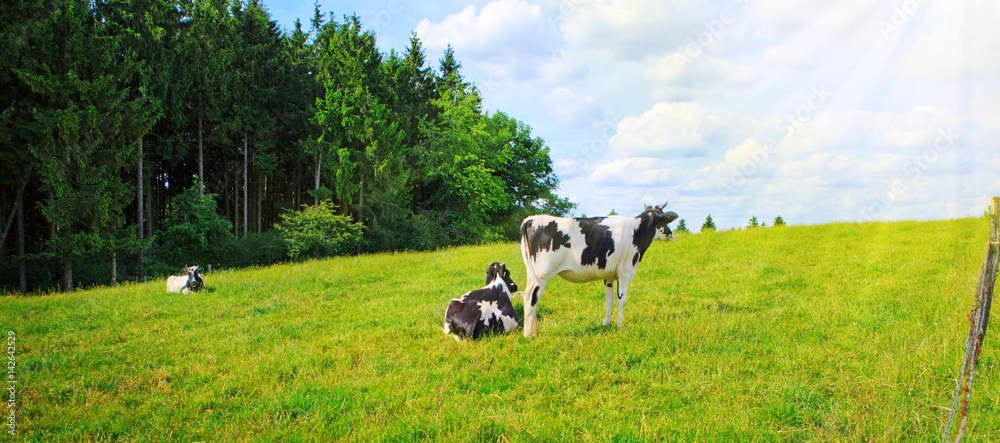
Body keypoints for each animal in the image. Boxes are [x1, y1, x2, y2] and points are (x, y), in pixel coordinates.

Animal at [519, 202, 678, 338]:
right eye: (665, 221)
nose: (672, 235)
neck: (636, 231)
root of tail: (533, 219)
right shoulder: (625, 272)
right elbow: (621, 300)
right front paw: (620, 326)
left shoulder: (609, 275)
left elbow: (610, 300)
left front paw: (607, 323)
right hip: (542, 275)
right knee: (530, 299)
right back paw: (528, 335)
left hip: (531, 275)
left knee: (531, 298)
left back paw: (536, 331)